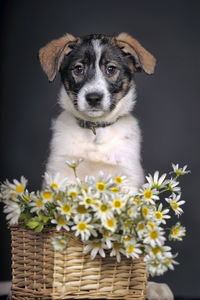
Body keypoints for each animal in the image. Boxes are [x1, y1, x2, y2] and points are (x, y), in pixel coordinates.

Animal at [38, 31, 173, 298]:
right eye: (78, 69)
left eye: (111, 69)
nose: (93, 98)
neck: (95, 132)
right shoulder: (60, 174)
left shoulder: (127, 180)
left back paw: (155, 288)